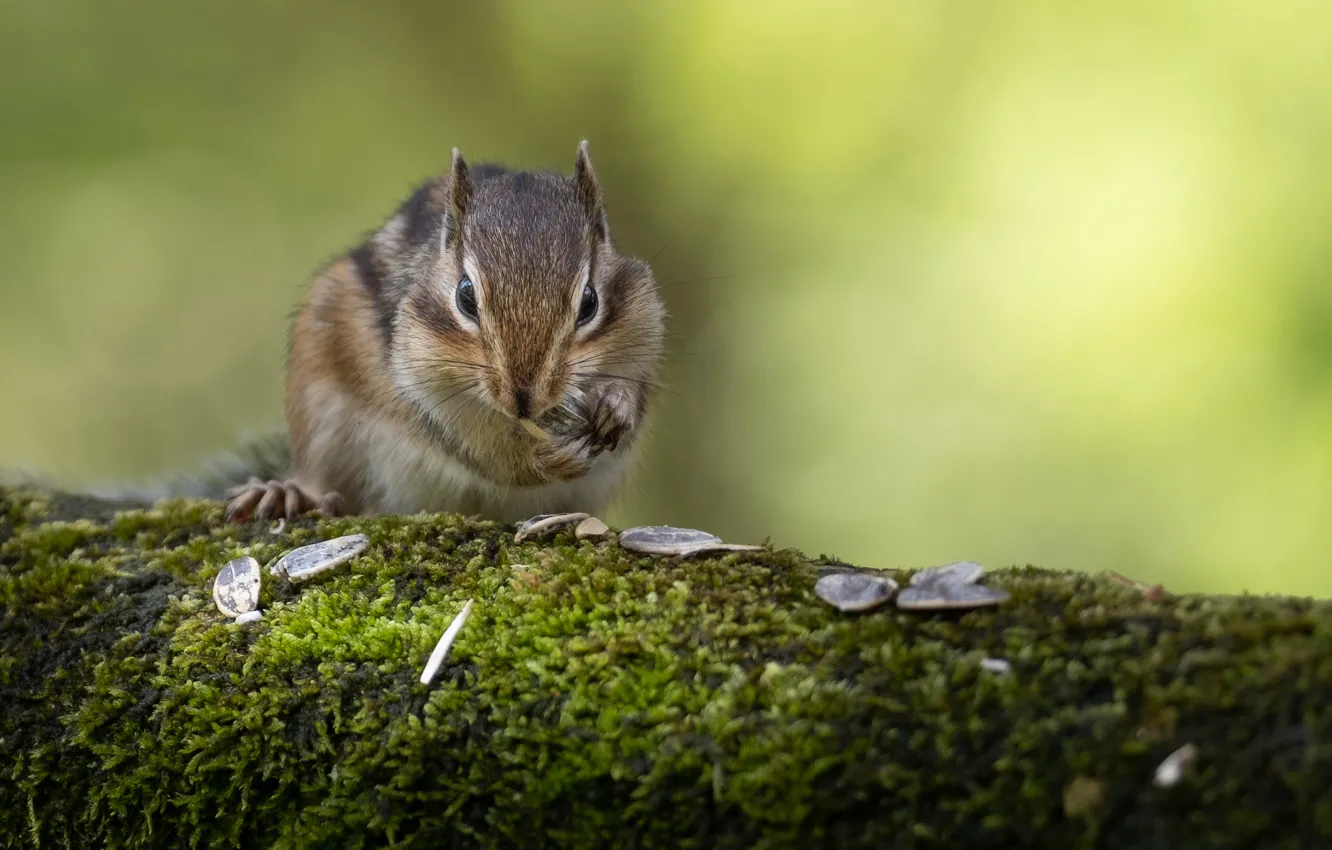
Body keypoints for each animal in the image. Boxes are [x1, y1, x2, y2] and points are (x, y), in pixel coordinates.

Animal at [7, 142, 668, 524]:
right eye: (465, 297)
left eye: (589, 302)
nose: (525, 399)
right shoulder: (420, 380)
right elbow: (477, 446)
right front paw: (539, 457)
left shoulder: (645, 329)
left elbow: (634, 391)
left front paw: (614, 409)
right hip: (321, 409)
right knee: (329, 483)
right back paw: (289, 494)